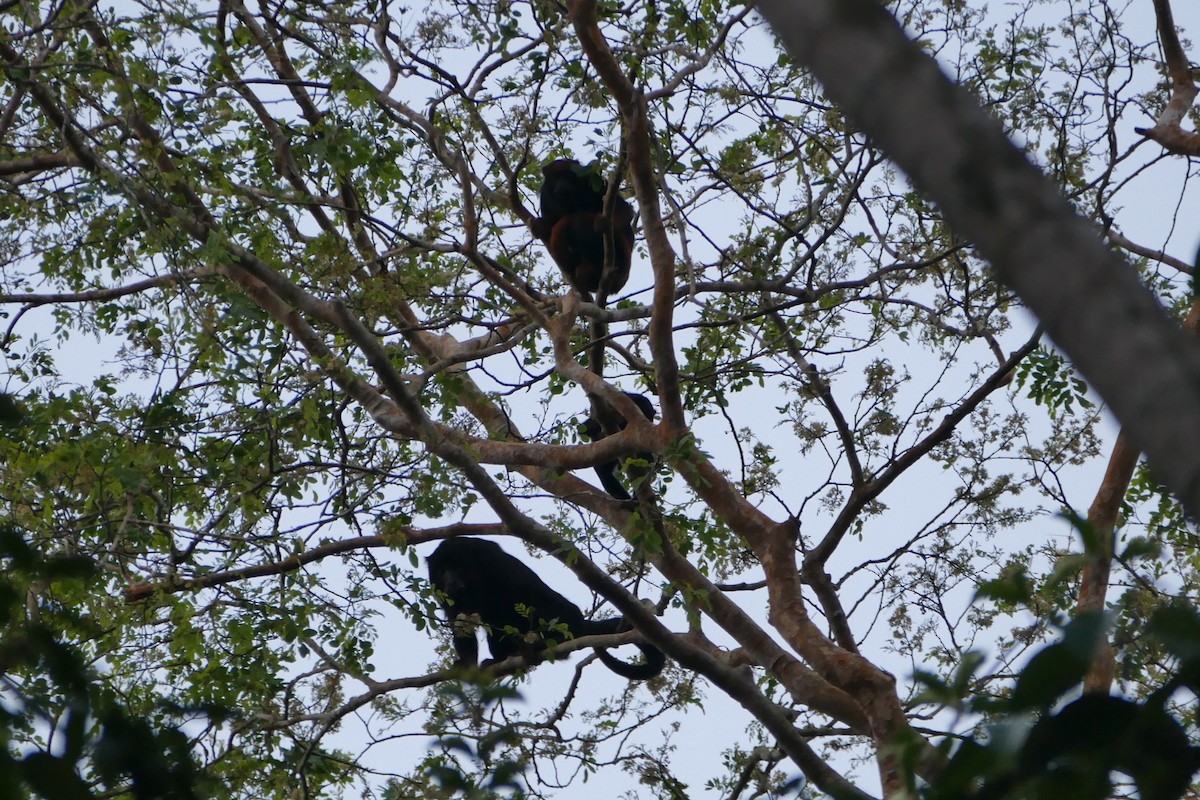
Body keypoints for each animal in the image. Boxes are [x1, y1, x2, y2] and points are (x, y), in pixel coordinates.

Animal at [426, 536, 665, 680]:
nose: (450, 581)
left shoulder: (491, 560)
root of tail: (579, 623)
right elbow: (459, 621)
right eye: (441, 570)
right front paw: (466, 663)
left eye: (458, 566)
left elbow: (522, 592)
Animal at [531, 158, 636, 299]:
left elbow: (624, 209)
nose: (562, 183)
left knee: (580, 221)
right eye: (556, 177)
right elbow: (552, 222)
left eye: (567, 175)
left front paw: (603, 223)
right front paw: (540, 224)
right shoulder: (545, 195)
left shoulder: (590, 179)